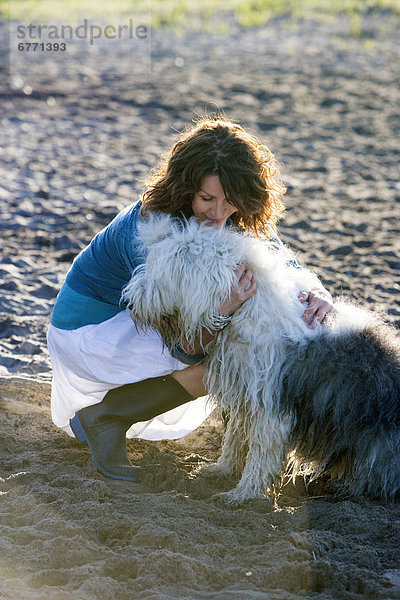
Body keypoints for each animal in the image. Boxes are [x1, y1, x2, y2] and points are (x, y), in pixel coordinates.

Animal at [122, 213, 400, 504]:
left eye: (160, 273)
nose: (129, 303)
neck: (245, 309)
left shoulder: (268, 403)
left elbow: (259, 448)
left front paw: (243, 493)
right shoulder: (244, 392)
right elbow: (235, 436)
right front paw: (221, 470)